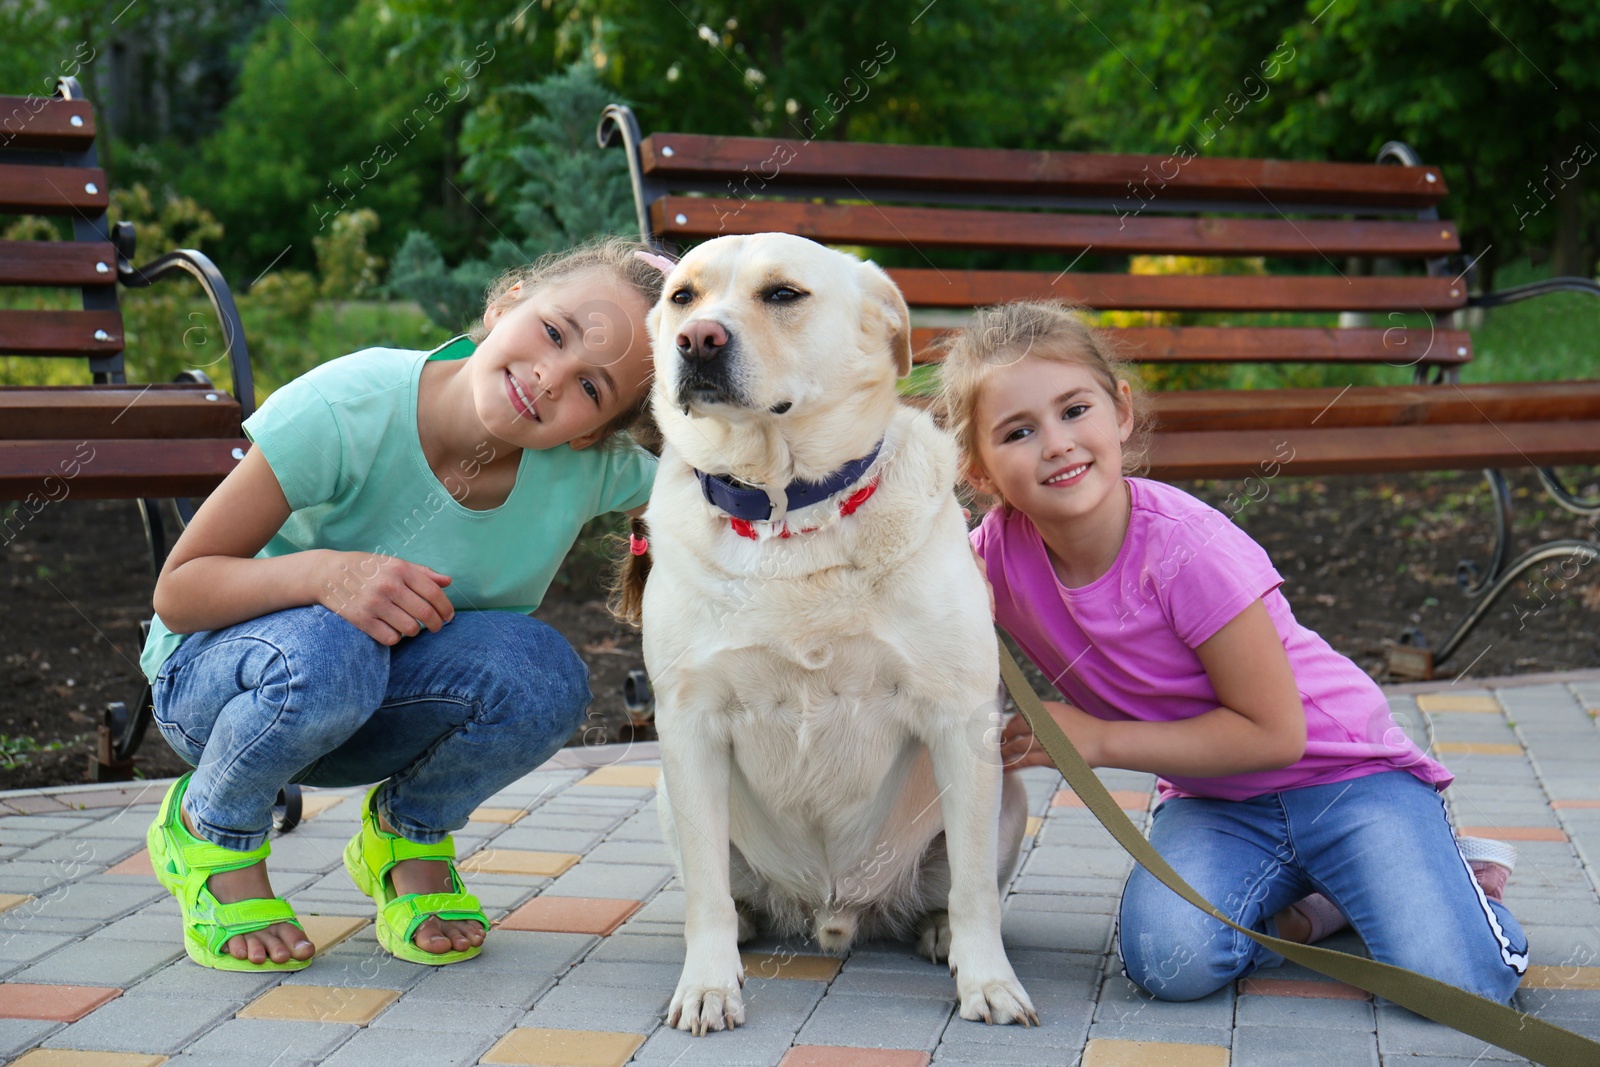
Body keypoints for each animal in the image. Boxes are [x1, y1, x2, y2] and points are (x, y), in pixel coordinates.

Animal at [640, 231, 1030, 1036]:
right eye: (683, 297)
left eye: (783, 294)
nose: (697, 340)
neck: (790, 509)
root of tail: (835, 914)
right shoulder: (687, 724)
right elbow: (704, 892)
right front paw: (708, 985)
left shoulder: (960, 718)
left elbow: (977, 886)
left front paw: (988, 982)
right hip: (667, 792)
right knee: (721, 886)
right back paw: (748, 920)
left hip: (1006, 787)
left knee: (958, 886)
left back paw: (939, 930)